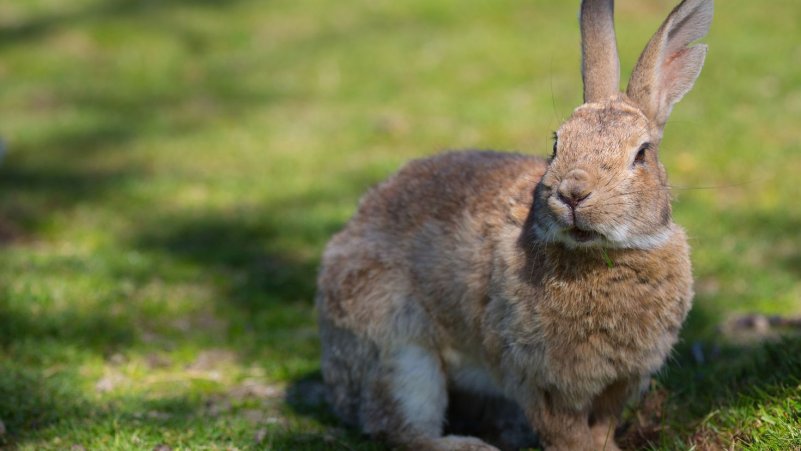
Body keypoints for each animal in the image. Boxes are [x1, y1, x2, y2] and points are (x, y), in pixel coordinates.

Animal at [316, 0, 708, 450]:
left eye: (641, 154)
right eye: (556, 143)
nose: (573, 193)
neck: (600, 256)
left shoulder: (619, 382)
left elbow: (601, 427)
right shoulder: (538, 379)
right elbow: (568, 433)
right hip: (400, 349)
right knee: (399, 425)